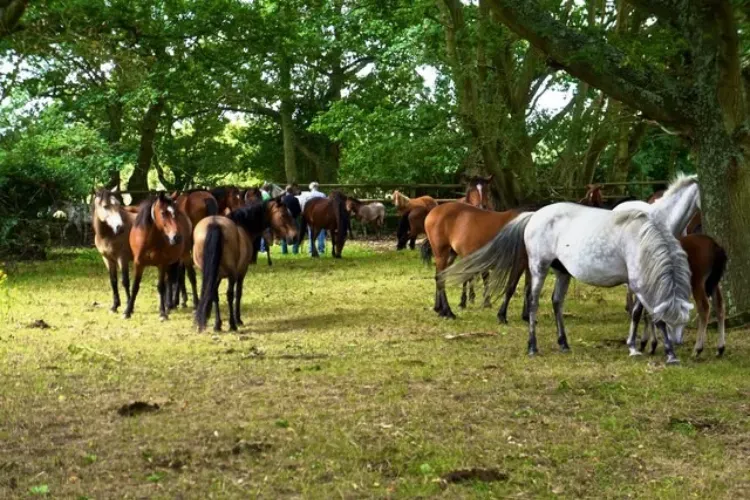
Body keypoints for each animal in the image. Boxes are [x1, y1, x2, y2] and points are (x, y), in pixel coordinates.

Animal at [194, 199, 300, 332]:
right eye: (283, 215)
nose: (295, 236)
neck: (243, 226)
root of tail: (215, 225)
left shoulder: (216, 276)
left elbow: (214, 295)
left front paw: (217, 324)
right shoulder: (241, 272)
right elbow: (238, 294)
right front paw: (238, 319)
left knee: (214, 294)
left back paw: (217, 325)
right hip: (232, 275)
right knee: (230, 294)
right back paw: (232, 324)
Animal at [444, 202, 696, 364]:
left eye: (683, 323)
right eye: (672, 323)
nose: (678, 342)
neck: (641, 239)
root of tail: (535, 215)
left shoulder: (642, 285)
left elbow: (639, 313)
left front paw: (637, 346)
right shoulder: (638, 284)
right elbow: (649, 316)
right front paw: (664, 353)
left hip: (562, 273)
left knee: (557, 303)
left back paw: (563, 343)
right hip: (538, 267)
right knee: (533, 302)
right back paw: (532, 346)